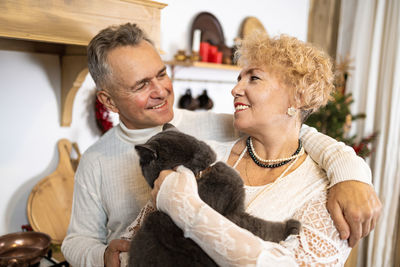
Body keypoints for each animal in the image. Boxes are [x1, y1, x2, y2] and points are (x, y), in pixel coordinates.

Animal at [129, 124, 300, 266]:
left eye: (142, 163)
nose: (140, 164)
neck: (201, 172)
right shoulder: (232, 215)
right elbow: (259, 227)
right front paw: (289, 226)